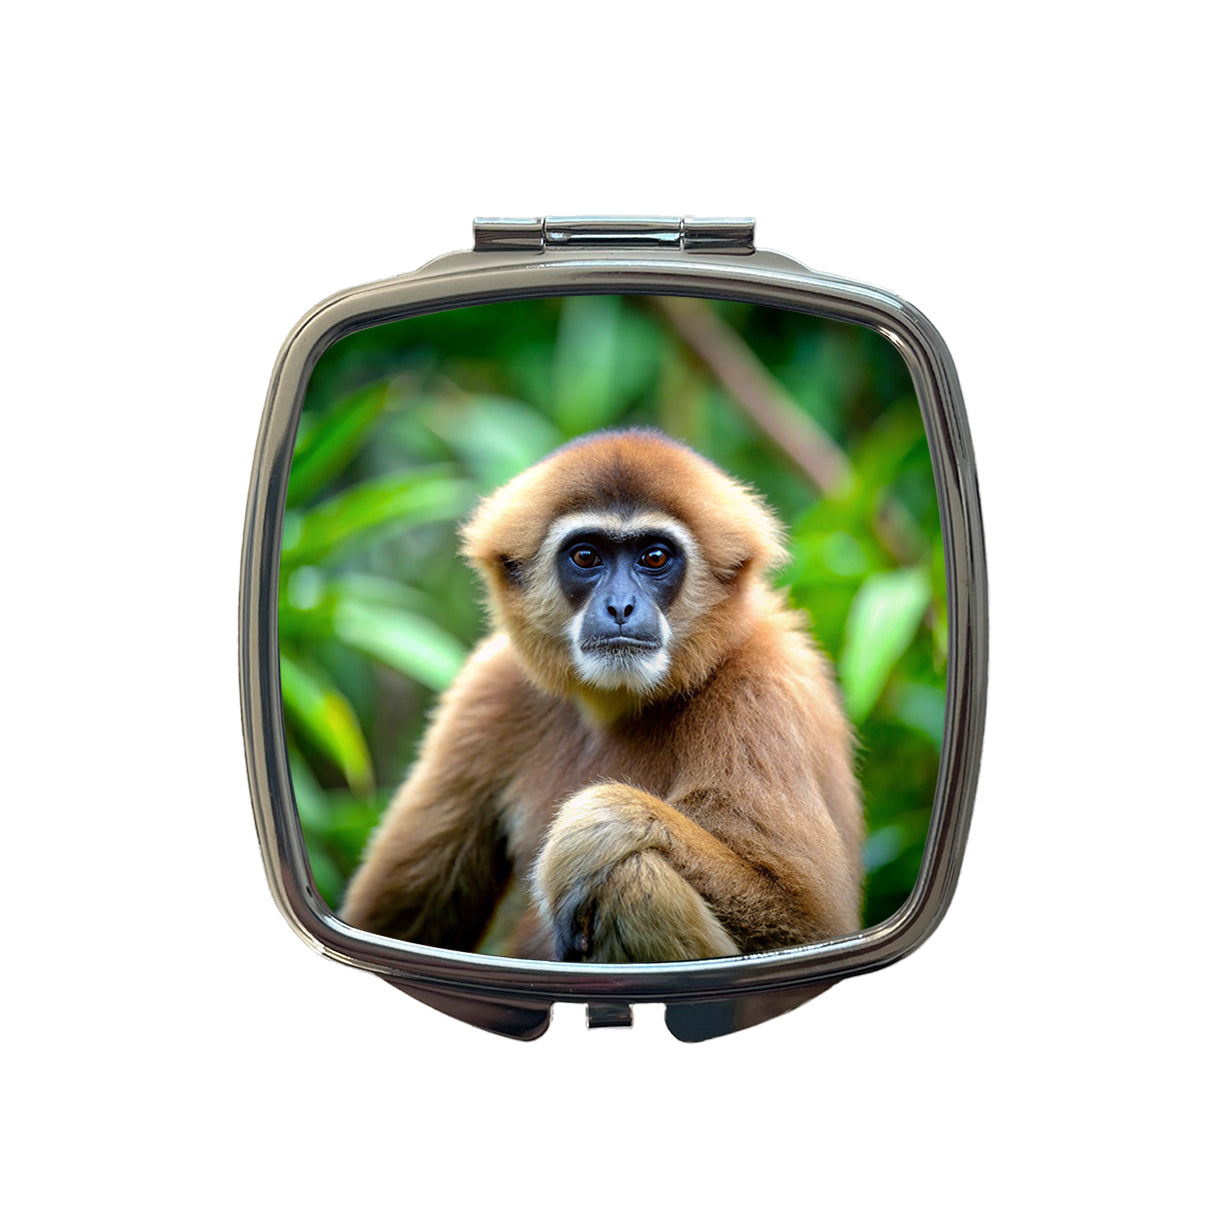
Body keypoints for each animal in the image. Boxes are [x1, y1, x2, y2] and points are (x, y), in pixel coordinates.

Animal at [340, 428, 863, 962]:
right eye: (586, 556)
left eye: (654, 557)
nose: (620, 605)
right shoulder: (488, 687)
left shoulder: (761, 691)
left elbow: (806, 920)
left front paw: (597, 827)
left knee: (631, 880)